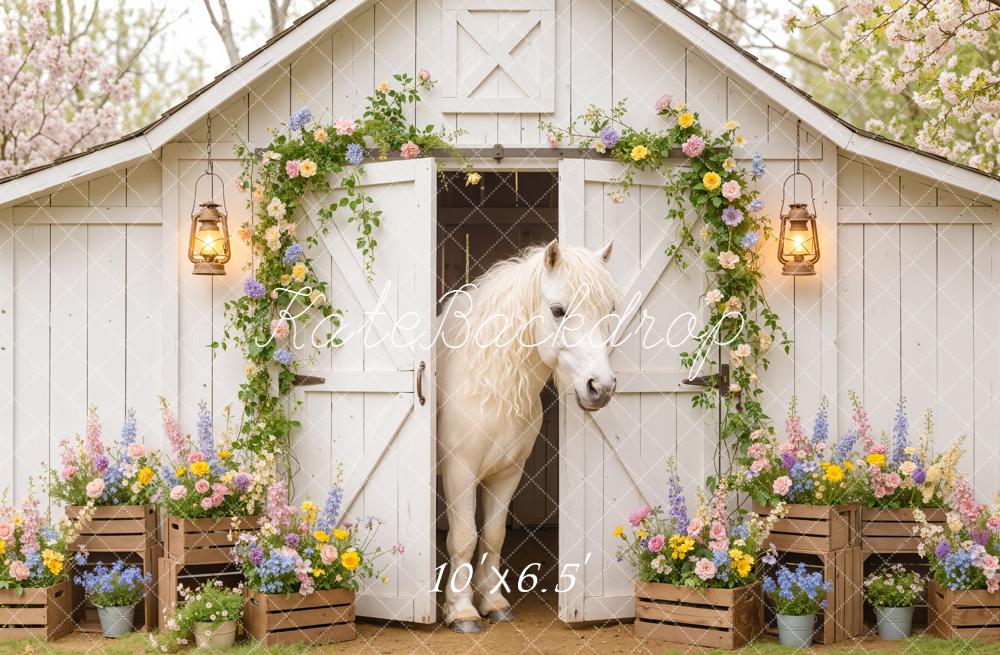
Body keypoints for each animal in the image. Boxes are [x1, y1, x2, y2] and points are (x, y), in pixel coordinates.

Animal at [436, 239, 619, 633]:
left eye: (609, 310)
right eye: (558, 310)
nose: (601, 387)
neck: (489, 387)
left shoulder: (507, 473)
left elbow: (493, 536)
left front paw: (493, 603)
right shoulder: (460, 471)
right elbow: (464, 537)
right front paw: (461, 611)